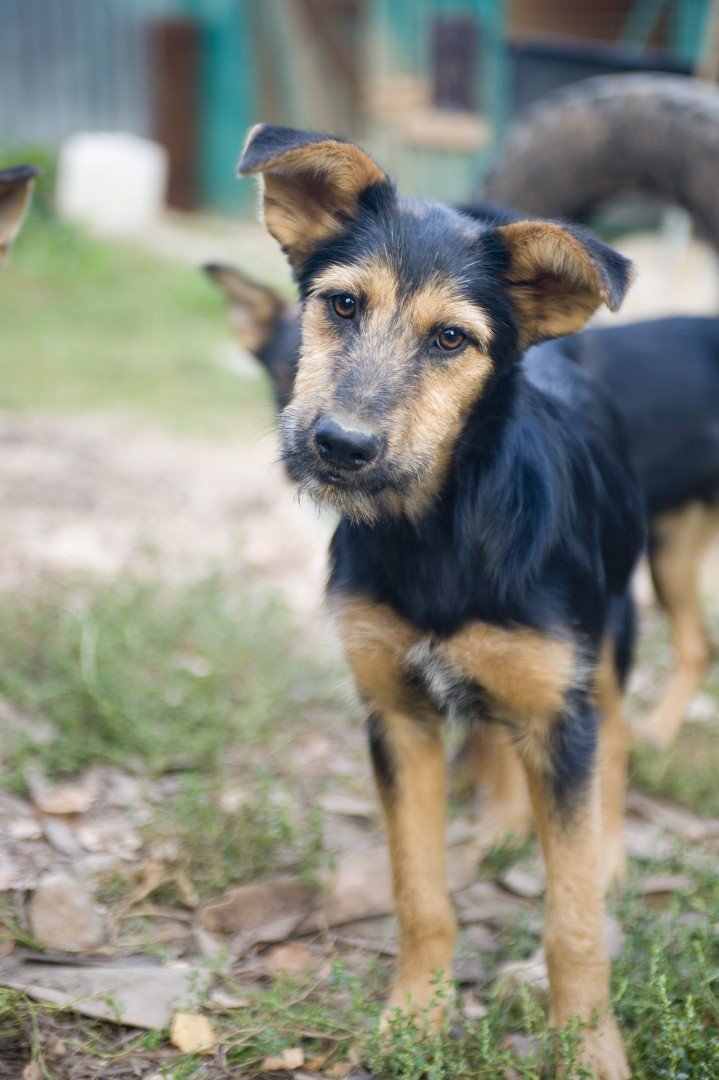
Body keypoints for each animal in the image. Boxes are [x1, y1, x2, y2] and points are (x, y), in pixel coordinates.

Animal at [237, 122, 639, 1075]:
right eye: (342, 306)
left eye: (452, 339)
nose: (340, 447)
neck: (437, 532)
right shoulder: (396, 715)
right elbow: (416, 889)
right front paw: (414, 1015)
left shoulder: (559, 713)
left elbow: (572, 922)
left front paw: (587, 1049)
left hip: (607, 638)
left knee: (618, 733)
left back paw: (603, 849)